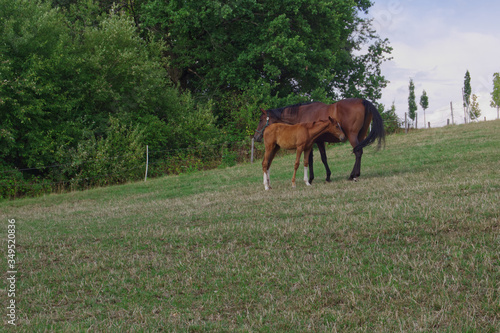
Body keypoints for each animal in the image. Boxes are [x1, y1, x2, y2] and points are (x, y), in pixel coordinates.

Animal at [254, 97, 386, 183]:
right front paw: (323, 177)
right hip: (360, 136)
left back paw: (354, 175)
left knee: (357, 152)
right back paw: (354, 174)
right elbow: (318, 158)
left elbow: (315, 159)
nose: (256, 137)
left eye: (260, 119)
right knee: (359, 152)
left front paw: (315, 178)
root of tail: (363, 101)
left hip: (352, 136)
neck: (303, 114)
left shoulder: (315, 142)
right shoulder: (316, 142)